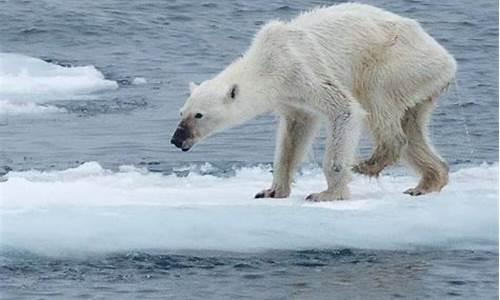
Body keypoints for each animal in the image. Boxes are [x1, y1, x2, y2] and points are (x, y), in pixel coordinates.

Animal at [172, 2, 458, 202]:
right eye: (181, 112)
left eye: (199, 115)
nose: (176, 139)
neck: (267, 63)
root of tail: (447, 60)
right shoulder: (290, 97)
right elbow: (294, 133)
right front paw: (271, 190)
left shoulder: (301, 70)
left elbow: (344, 109)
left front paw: (327, 194)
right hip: (421, 83)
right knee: (412, 126)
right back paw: (426, 183)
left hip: (398, 62)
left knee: (376, 99)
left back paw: (369, 163)